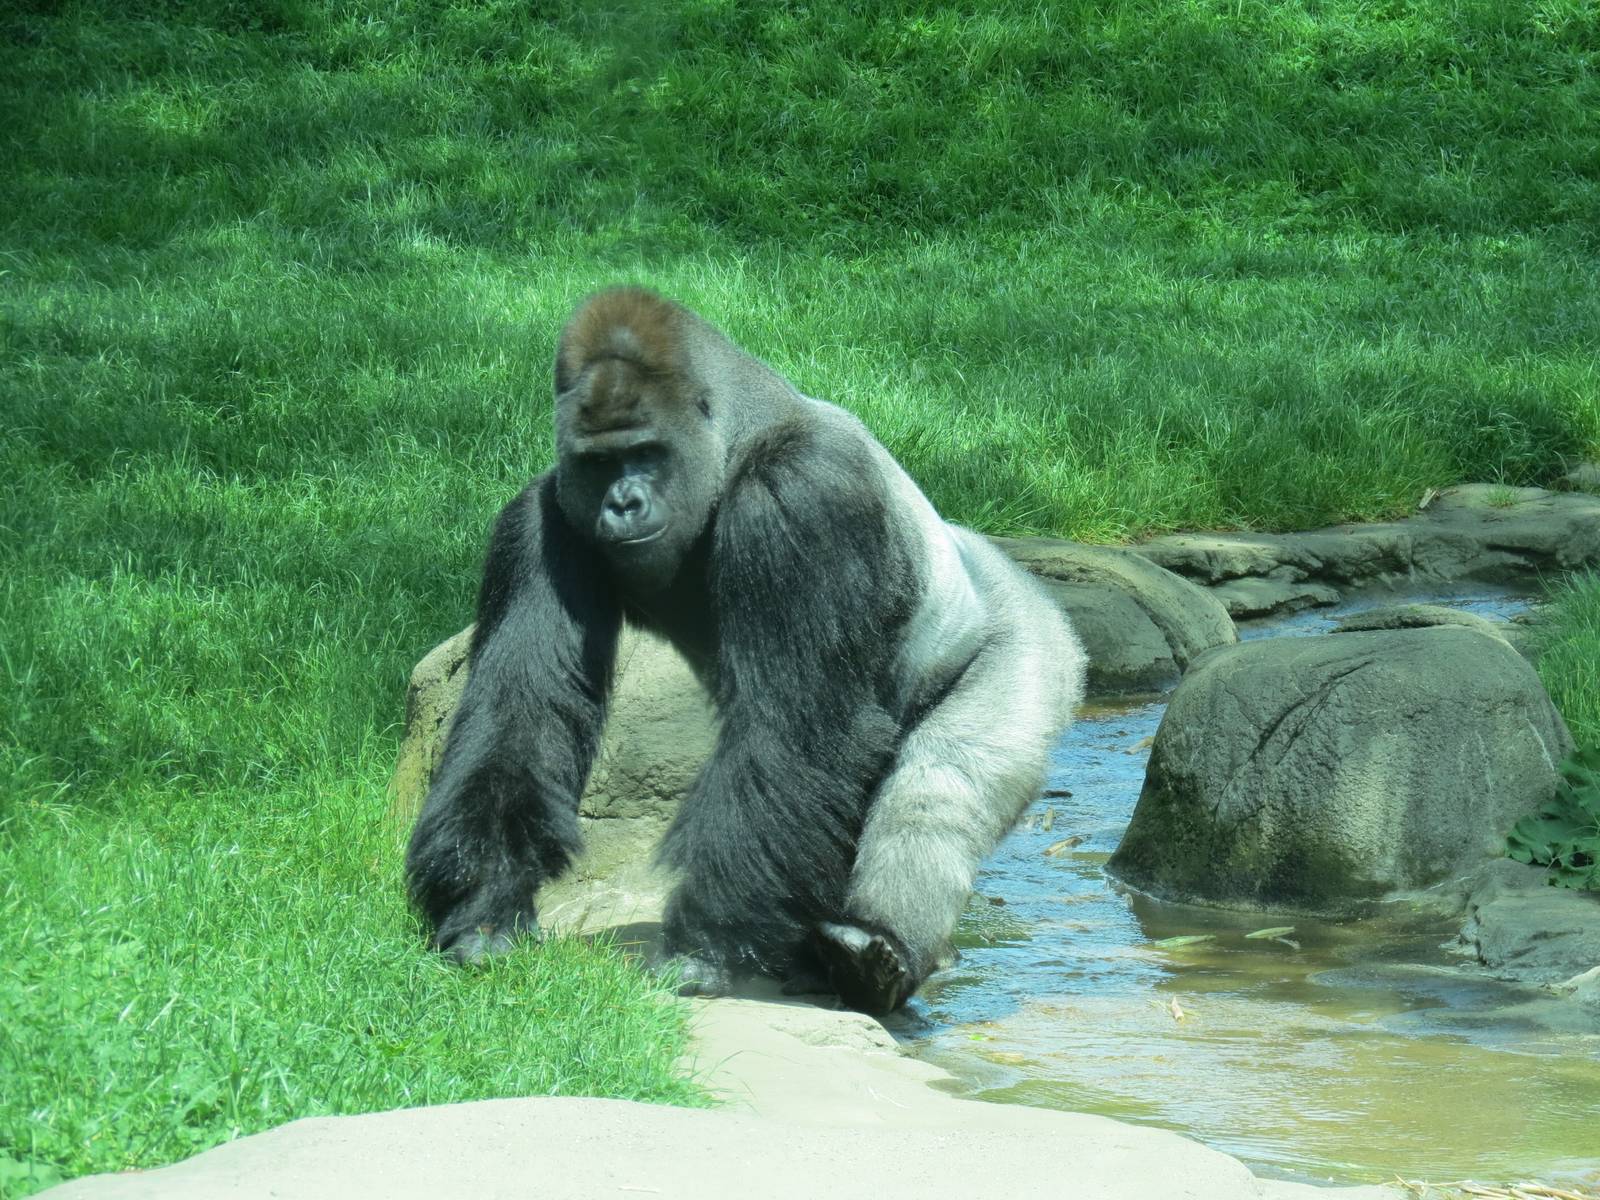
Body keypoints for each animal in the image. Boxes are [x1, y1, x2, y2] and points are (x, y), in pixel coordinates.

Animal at [405, 287, 1086, 1015]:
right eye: (599, 463)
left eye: (645, 453)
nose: (623, 503)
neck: (739, 438)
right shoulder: (545, 515)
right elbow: (520, 717)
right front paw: (485, 905)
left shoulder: (802, 495)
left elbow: (798, 730)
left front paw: (704, 947)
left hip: (1030, 641)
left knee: (943, 780)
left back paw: (879, 955)